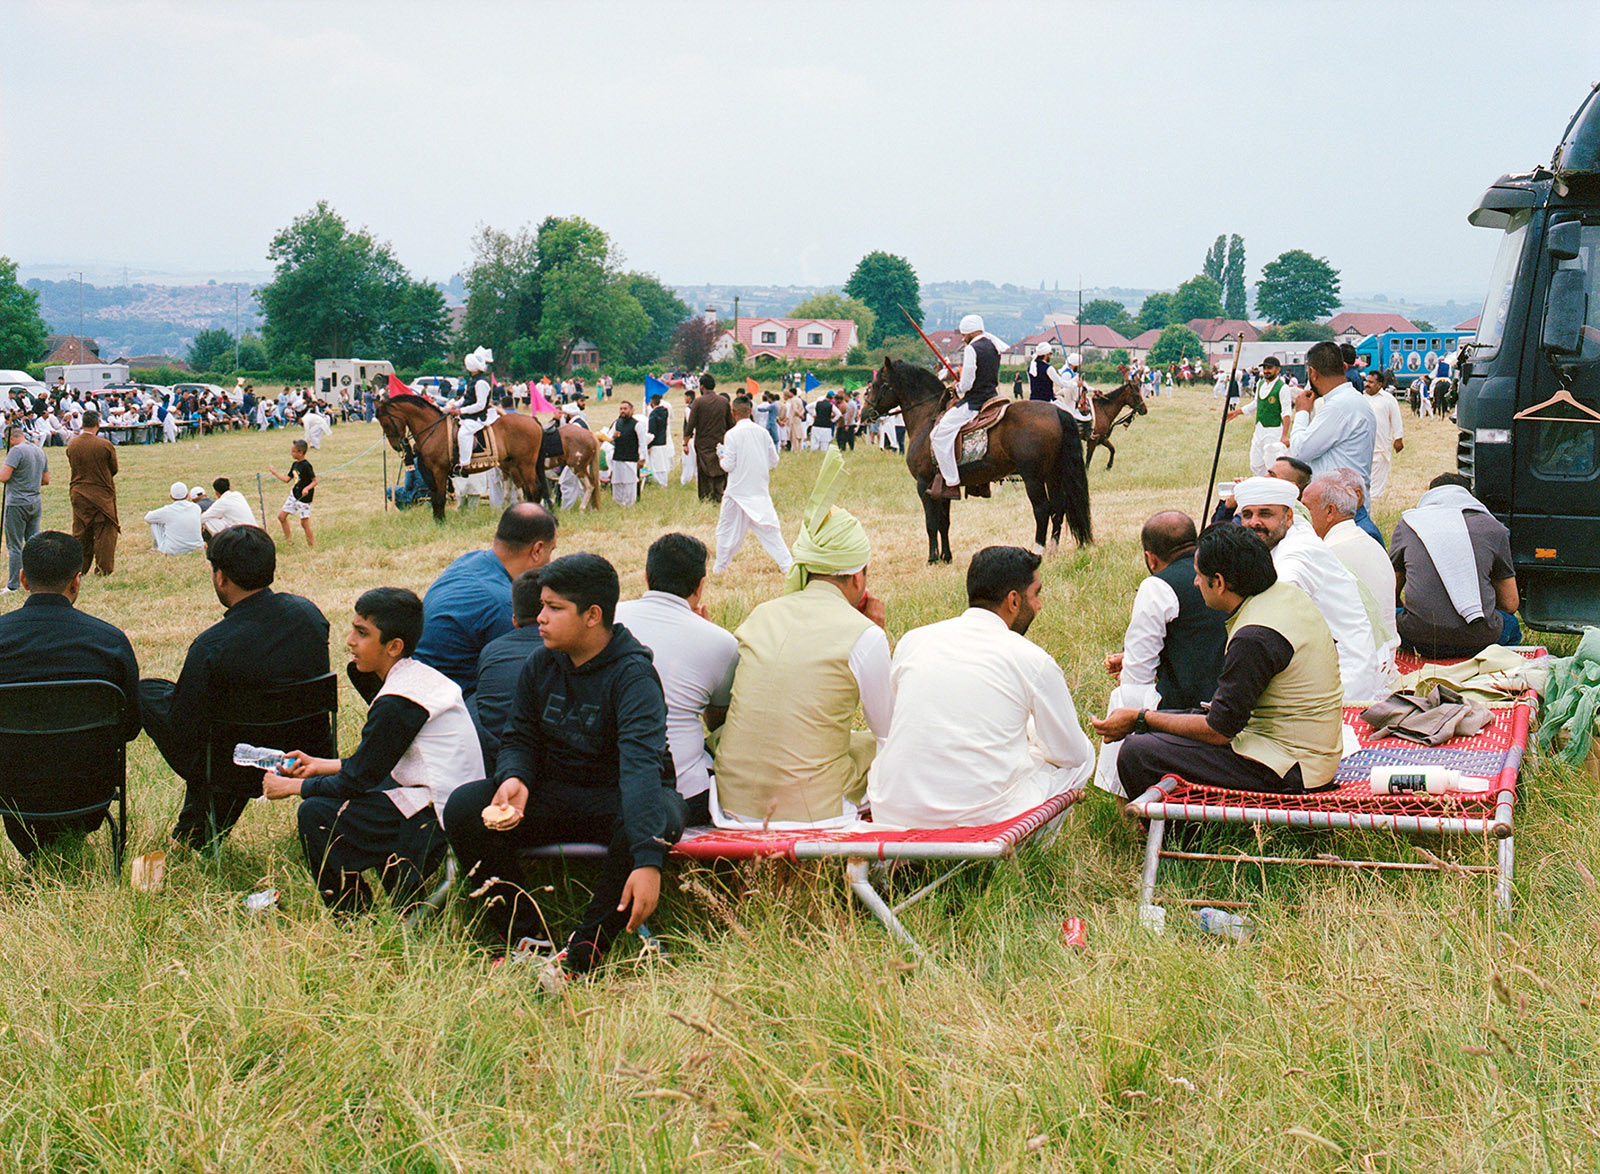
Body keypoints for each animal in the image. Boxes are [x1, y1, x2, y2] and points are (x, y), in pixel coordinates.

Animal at [374, 393, 601, 521]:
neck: (433, 429)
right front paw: (438, 519)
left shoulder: (439, 471)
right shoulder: (432, 473)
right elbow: (436, 496)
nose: (397, 446)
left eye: (385, 421)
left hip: (531, 465)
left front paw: (440, 522)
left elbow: (439, 496)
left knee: (536, 489)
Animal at [864, 356, 1100, 563]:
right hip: (1053, 475)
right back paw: (1052, 550)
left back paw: (1037, 550)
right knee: (1059, 508)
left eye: (877, 384)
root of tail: (1057, 412)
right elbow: (944, 522)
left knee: (1043, 509)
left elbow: (931, 523)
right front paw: (946, 557)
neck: (927, 417)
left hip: (1033, 478)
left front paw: (932, 558)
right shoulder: (942, 487)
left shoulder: (924, 485)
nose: (864, 414)